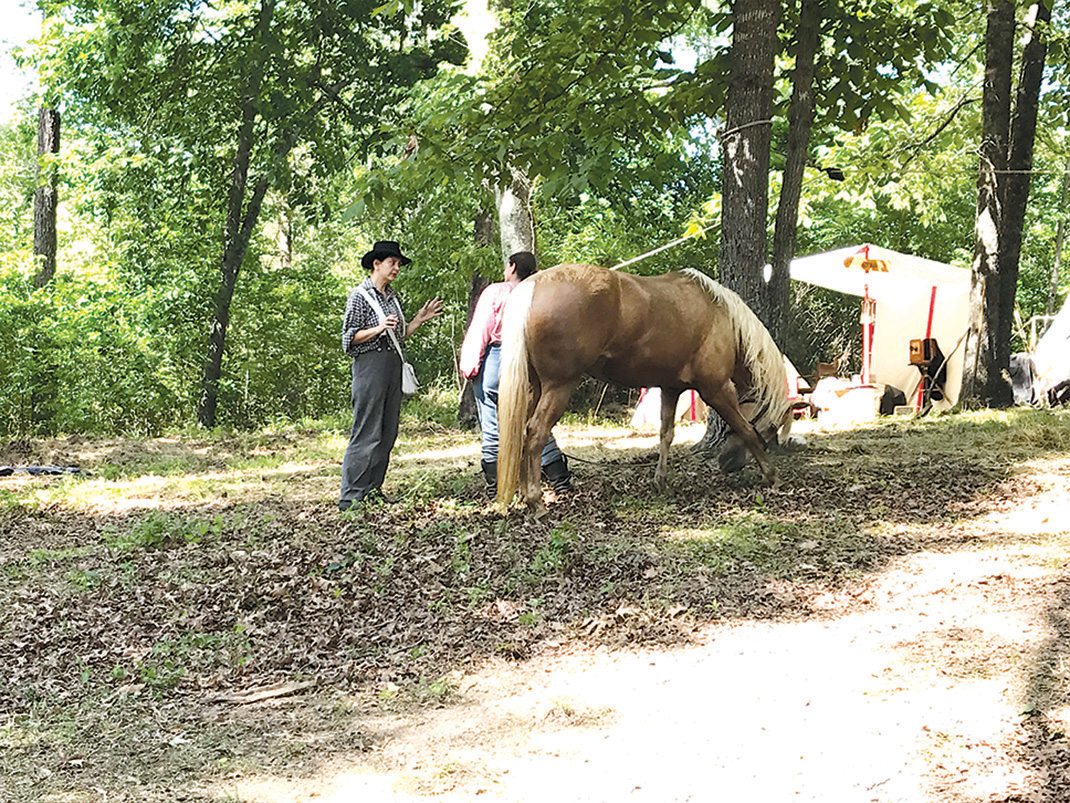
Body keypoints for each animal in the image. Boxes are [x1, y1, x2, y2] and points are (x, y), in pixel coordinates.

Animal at [496, 263, 792, 515]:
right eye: (771, 427)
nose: (727, 463)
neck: (723, 318)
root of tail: (534, 285)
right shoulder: (717, 390)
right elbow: (746, 429)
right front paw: (772, 475)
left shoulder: (671, 389)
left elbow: (666, 434)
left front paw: (660, 480)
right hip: (559, 386)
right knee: (536, 434)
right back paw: (536, 502)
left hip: (535, 387)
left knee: (522, 433)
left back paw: (523, 495)